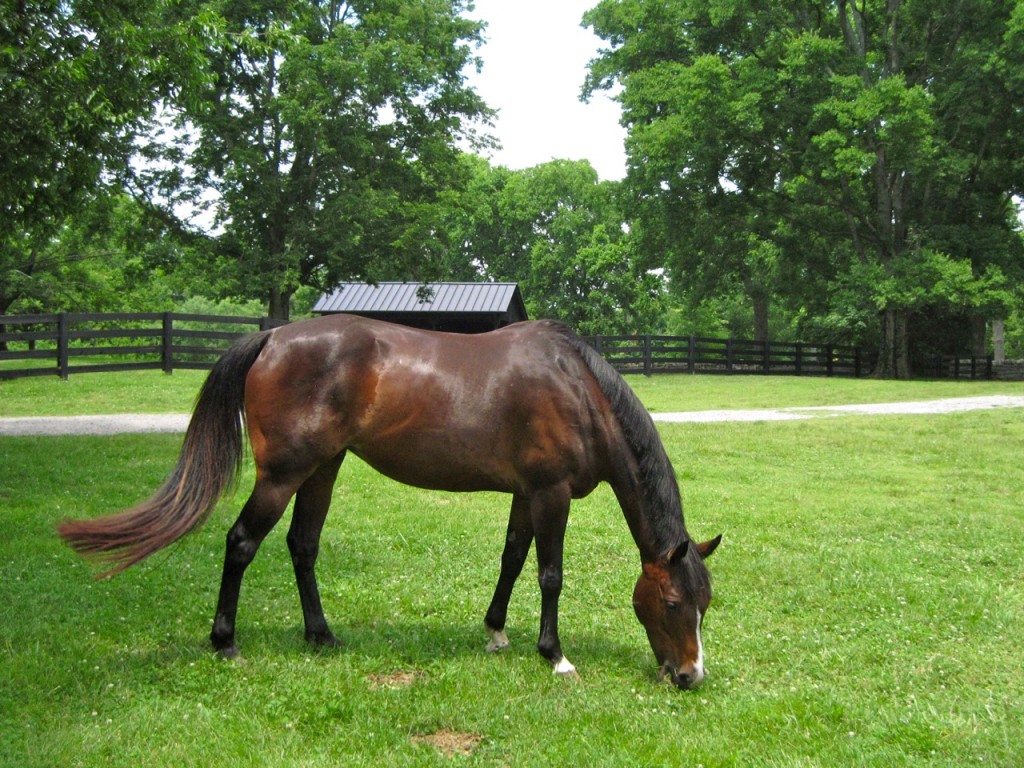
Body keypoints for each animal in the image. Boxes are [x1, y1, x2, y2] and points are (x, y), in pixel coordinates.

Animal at [59, 315, 724, 688]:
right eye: (670, 602)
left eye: (705, 605)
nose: (690, 676)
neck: (578, 390)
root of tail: (273, 336)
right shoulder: (550, 493)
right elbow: (550, 574)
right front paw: (554, 655)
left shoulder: (524, 493)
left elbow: (512, 559)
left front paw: (495, 632)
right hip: (284, 473)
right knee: (242, 543)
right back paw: (226, 642)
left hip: (322, 469)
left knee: (303, 545)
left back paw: (321, 636)